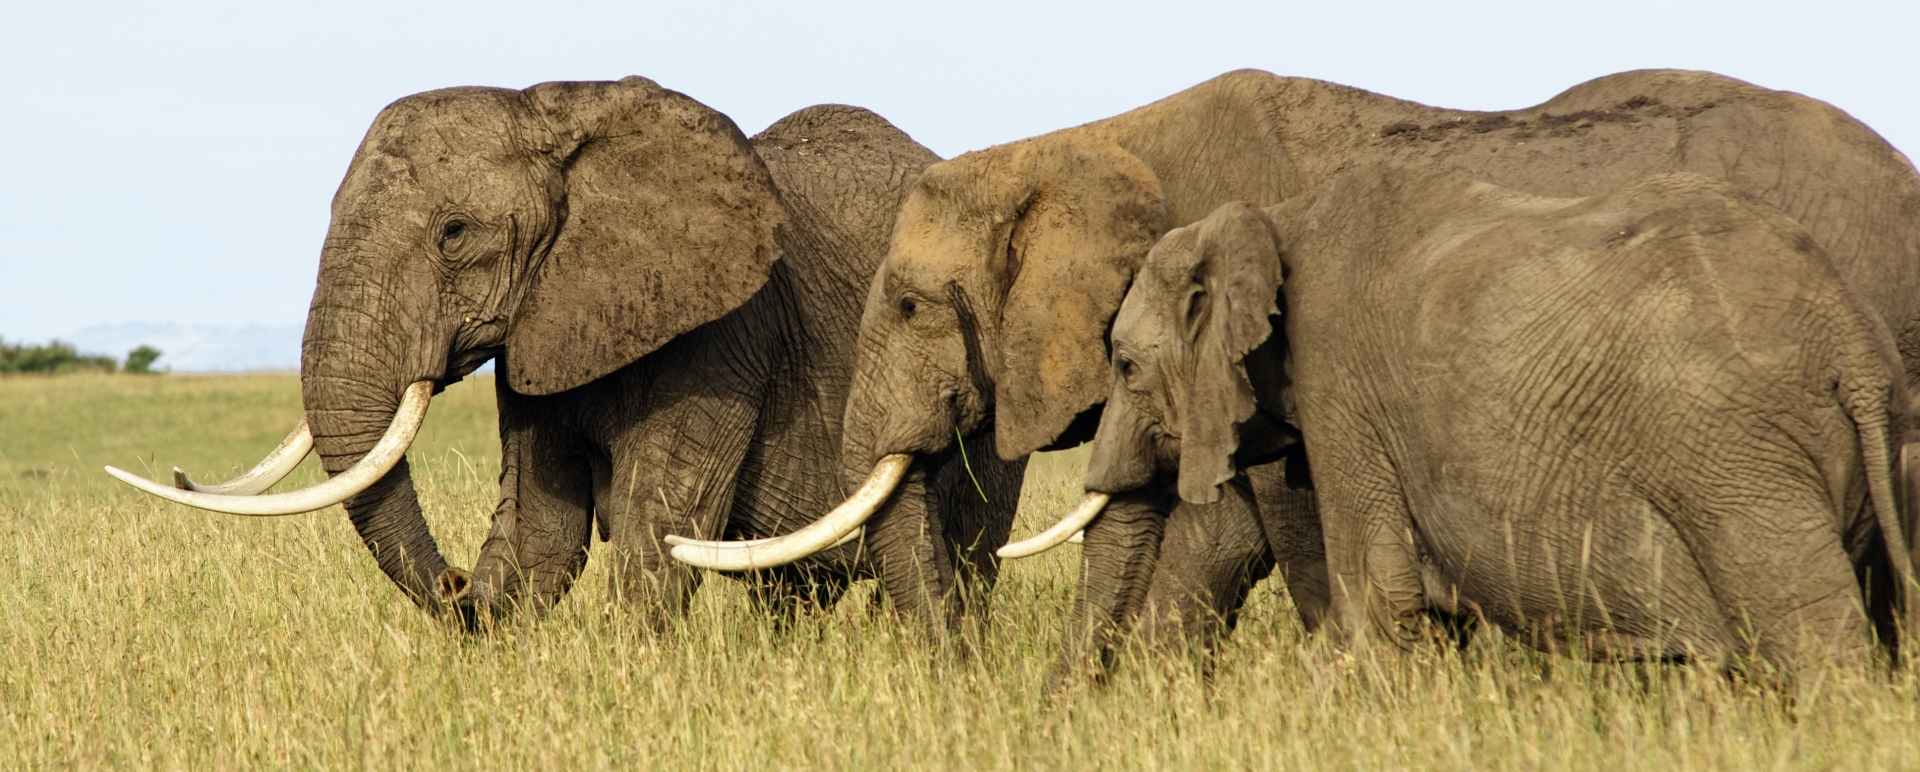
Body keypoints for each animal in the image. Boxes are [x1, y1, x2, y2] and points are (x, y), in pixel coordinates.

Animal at [106, 77, 1025, 640]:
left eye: (454, 234)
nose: (452, 585)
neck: (563, 116)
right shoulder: (544, 325)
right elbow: (540, 538)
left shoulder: (726, 332)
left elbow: (662, 532)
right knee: (792, 595)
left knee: (961, 554)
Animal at [1070, 166, 1918, 678]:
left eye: (1125, 365)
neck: (1274, 215)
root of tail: (1851, 337)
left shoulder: (1339, 383)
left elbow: (1378, 598)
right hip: (1877, 460)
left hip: (1736, 464)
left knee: (1817, 638)